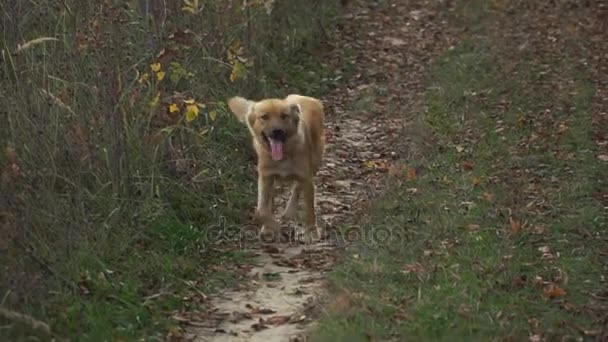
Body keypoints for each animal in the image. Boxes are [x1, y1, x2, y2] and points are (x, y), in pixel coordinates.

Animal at [227, 93, 324, 240]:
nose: (277, 131)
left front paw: (311, 231)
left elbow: (309, 209)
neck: (283, 156)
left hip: (315, 163)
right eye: (264, 117)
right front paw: (272, 227)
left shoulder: (307, 179)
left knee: (297, 188)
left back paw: (289, 212)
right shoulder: (265, 178)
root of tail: (304, 97)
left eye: (284, 116)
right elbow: (260, 212)